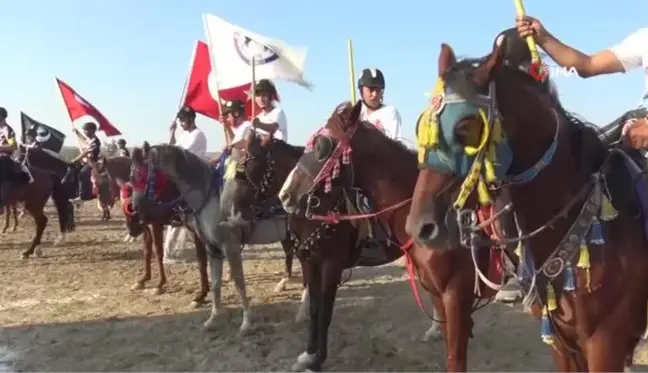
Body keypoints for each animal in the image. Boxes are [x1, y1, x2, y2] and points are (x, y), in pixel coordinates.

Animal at [146, 143, 290, 332]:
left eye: (148, 172)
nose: (140, 207)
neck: (212, 201)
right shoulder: (213, 249)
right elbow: (215, 283)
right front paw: (213, 318)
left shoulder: (231, 247)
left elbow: (239, 282)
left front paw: (246, 322)